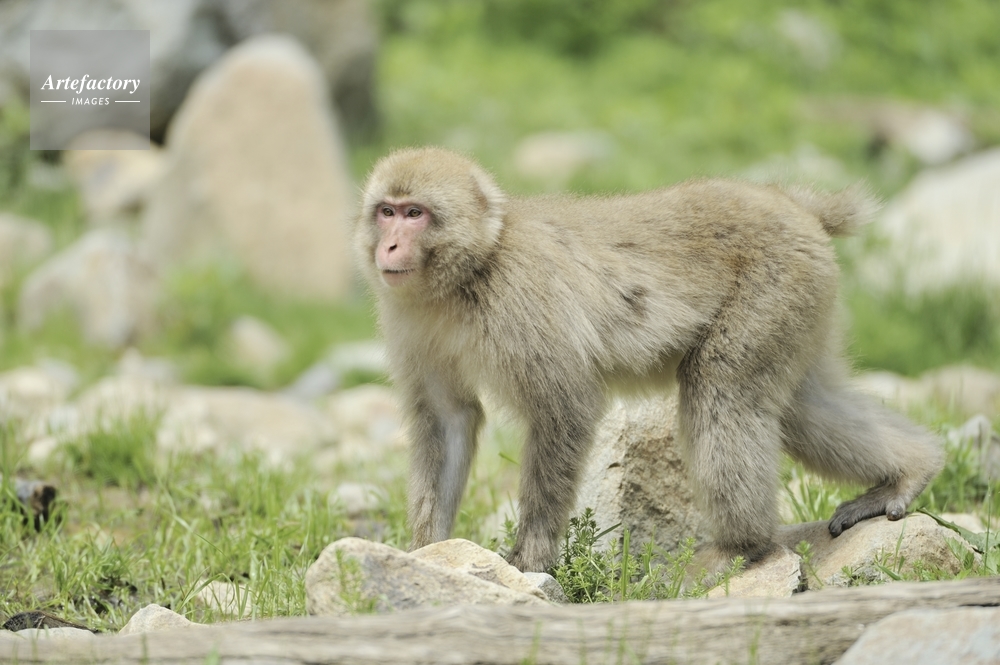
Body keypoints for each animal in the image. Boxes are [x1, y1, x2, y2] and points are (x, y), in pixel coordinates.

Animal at [353, 146, 944, 576]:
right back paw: (909, 471)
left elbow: (565, 408)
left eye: (415, 214)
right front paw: (426, 552)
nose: (389, 247)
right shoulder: (409, 321)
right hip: (802, 303)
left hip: (774, 289)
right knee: (801, 408)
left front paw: (531, 557)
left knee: (721, 395)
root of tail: (791, 203)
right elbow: (449, 419)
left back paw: (743, 546)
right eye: (386, 212)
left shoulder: (521, 302)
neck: (467, 274)